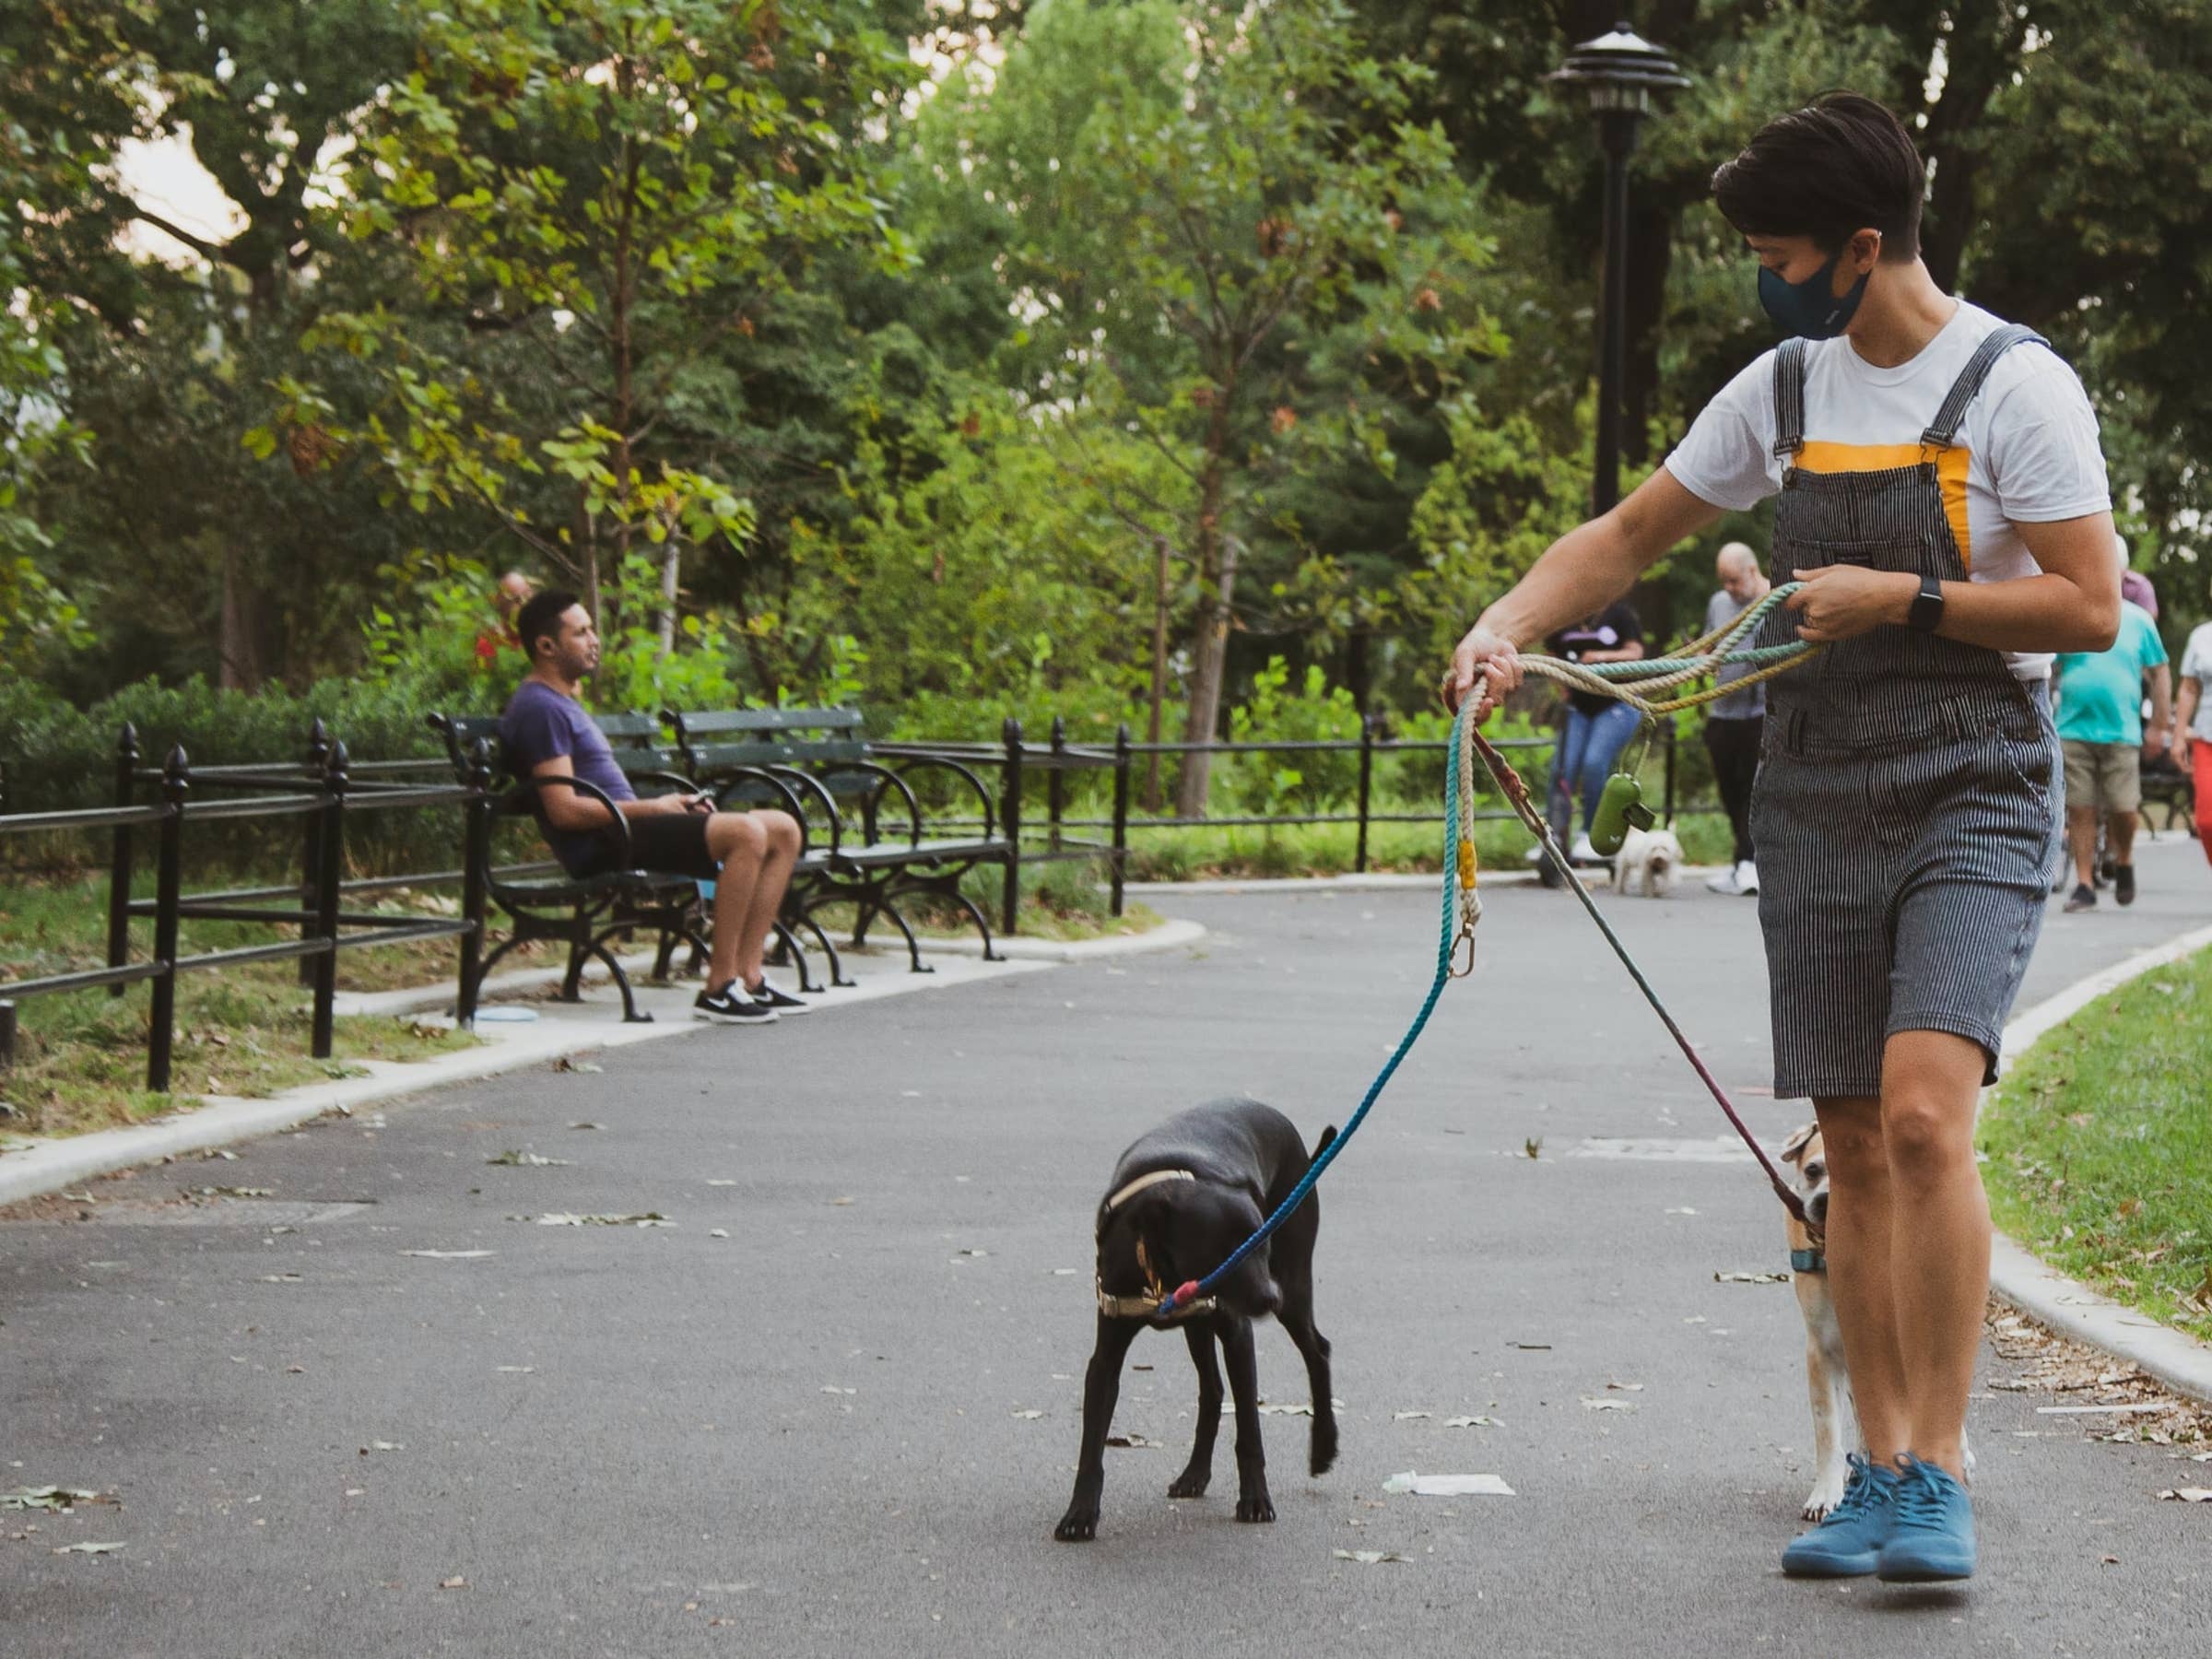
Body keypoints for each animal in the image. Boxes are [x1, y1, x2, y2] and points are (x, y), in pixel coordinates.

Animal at [1048, 1106, 1335, 1548]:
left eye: (1262, 1243)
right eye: (1224, 1252)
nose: (1270, 1298)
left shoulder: (1238, 1336)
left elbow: (1250, 1432)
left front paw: (1255, 1500)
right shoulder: (1106, 1356)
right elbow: (1091, 1445)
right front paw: (1080, 1514)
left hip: (1294, 1286)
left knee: (1317, 1350)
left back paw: (1323, 1447)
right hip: (1200, 1326)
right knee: (1212, 1389)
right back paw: (1195, 1474)